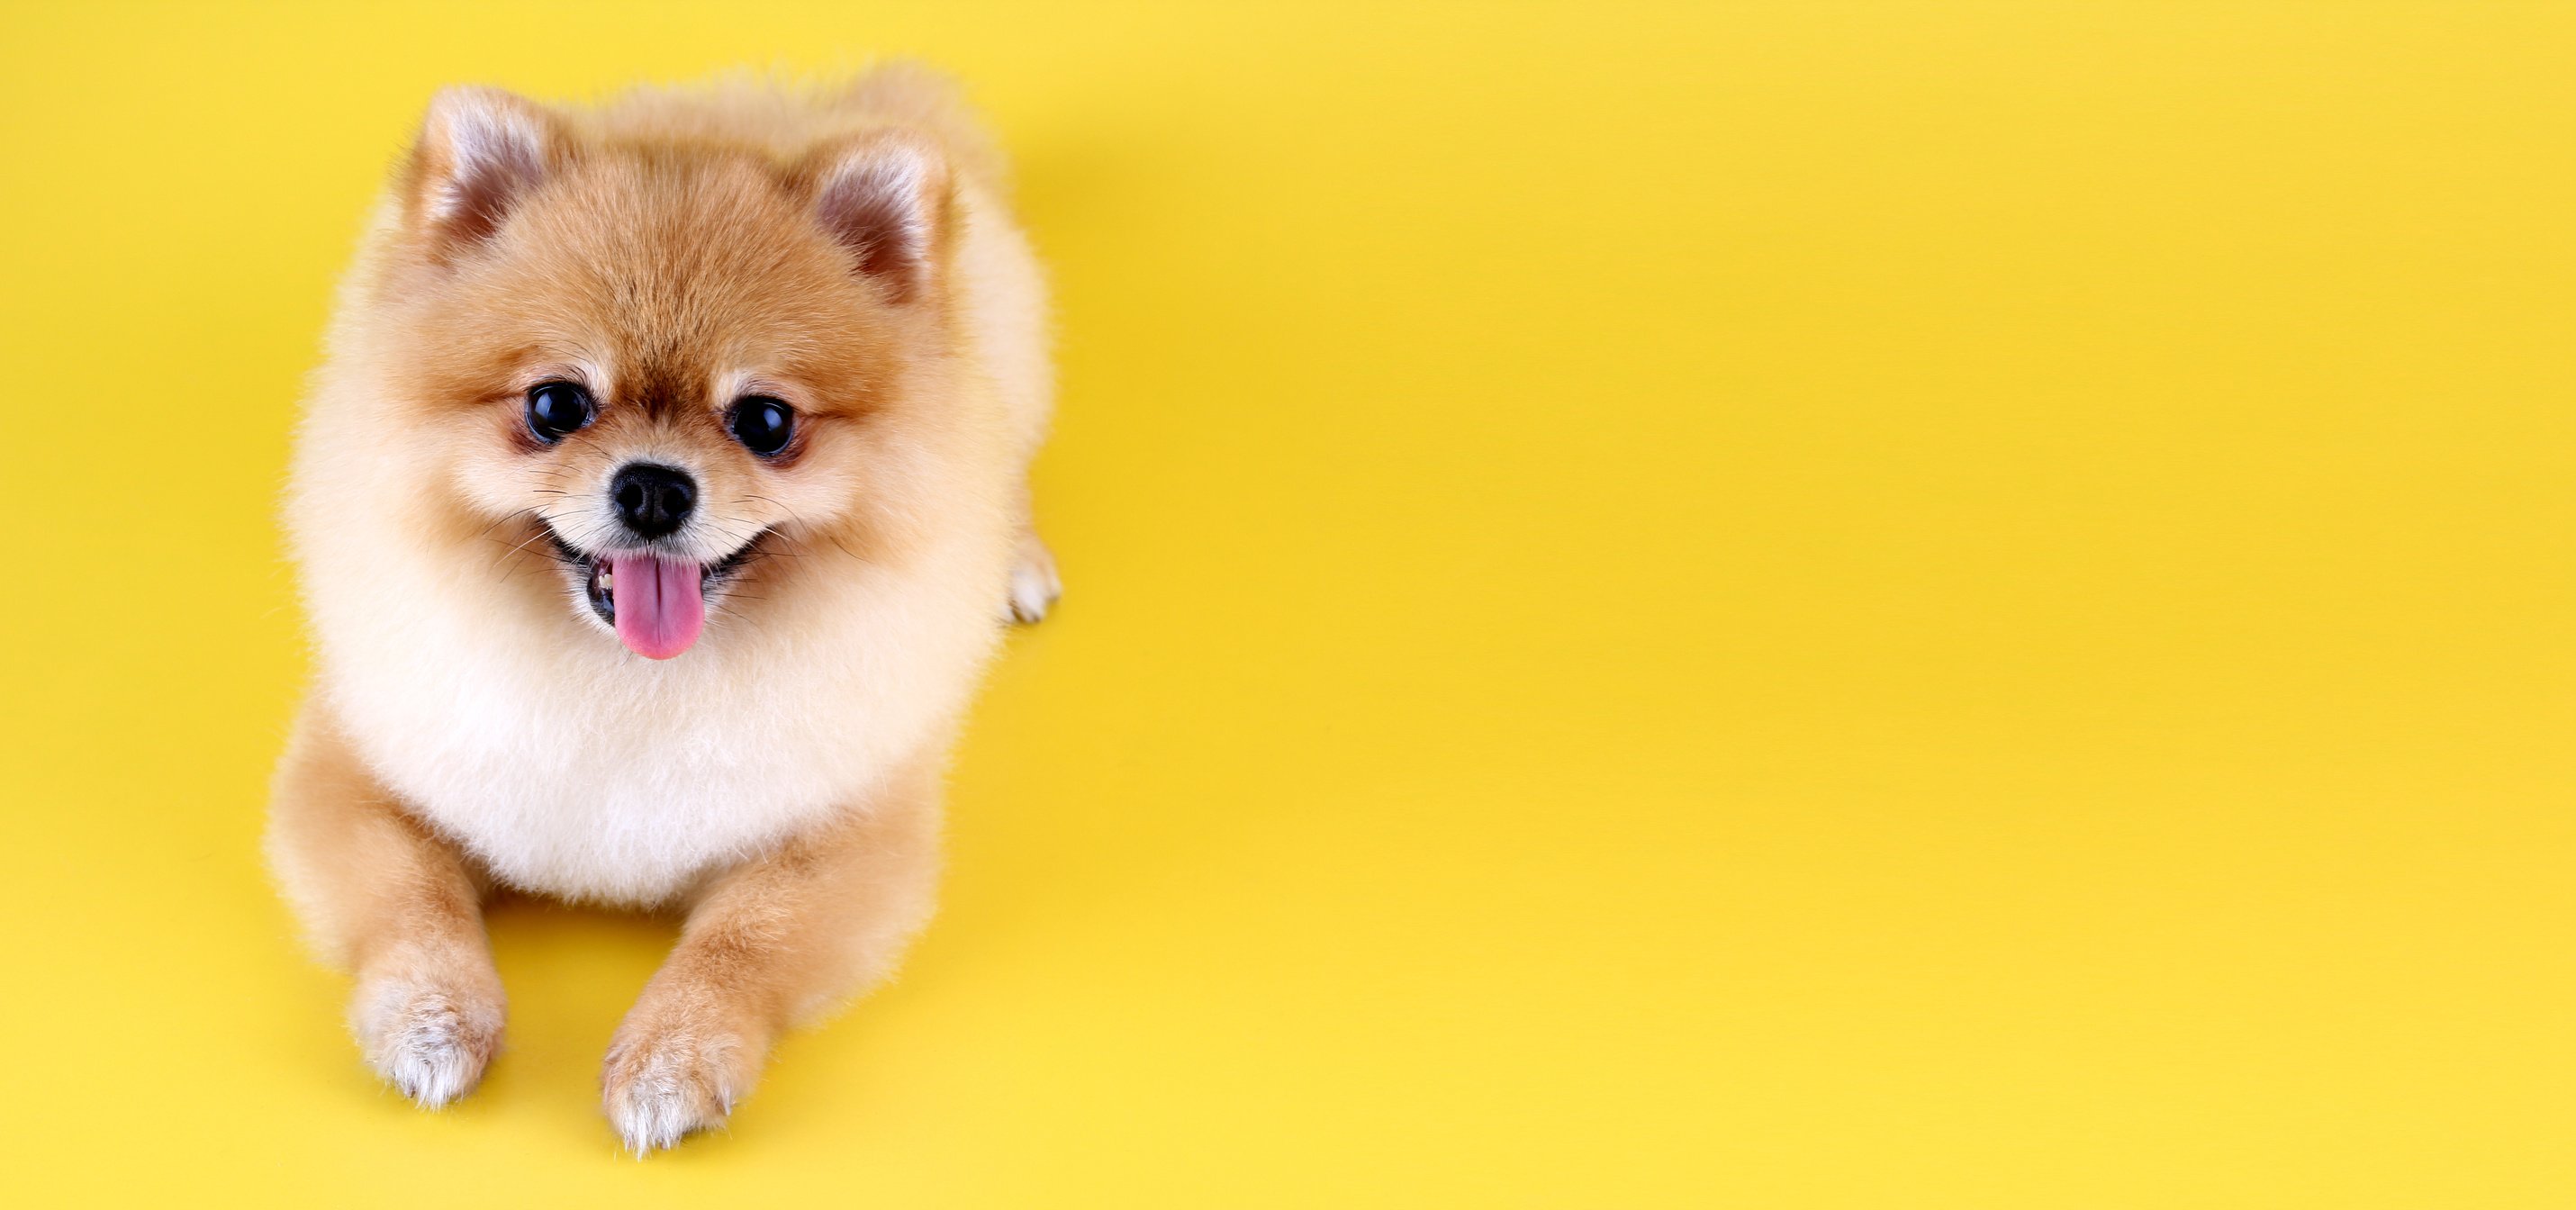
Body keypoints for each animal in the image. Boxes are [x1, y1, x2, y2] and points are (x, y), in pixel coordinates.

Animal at [267, 68, 1061, 1153]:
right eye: (555, 406)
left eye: (764, 422)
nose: (652, 487)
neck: (627, 683)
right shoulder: (355, 772)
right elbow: (410, 898)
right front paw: (431, 1022)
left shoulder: (840, 836)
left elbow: (739, 945)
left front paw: (671, 1058)